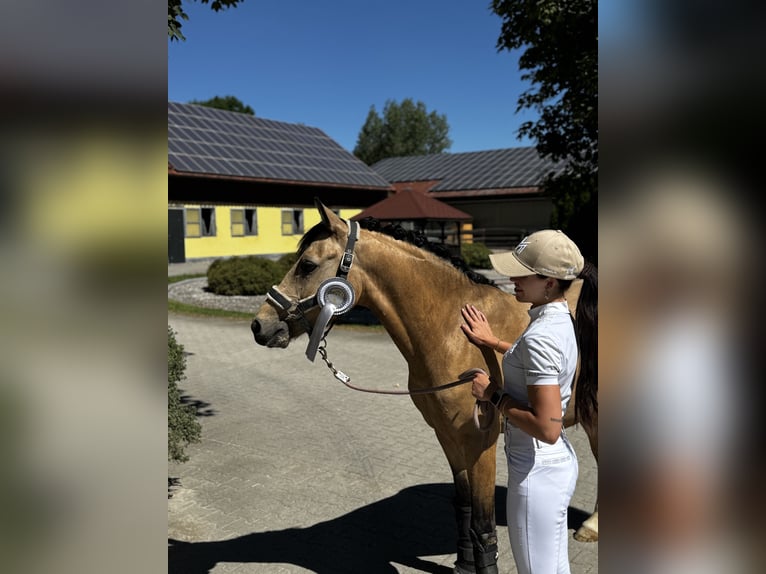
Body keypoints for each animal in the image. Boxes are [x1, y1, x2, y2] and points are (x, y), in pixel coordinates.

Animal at [251, 200, 598, 573]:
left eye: (307, 265)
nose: (260, 326)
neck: (452, 331)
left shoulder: (481, 441)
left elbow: (483, 519)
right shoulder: (447, 434)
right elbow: (463, 505)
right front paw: (463, 564)